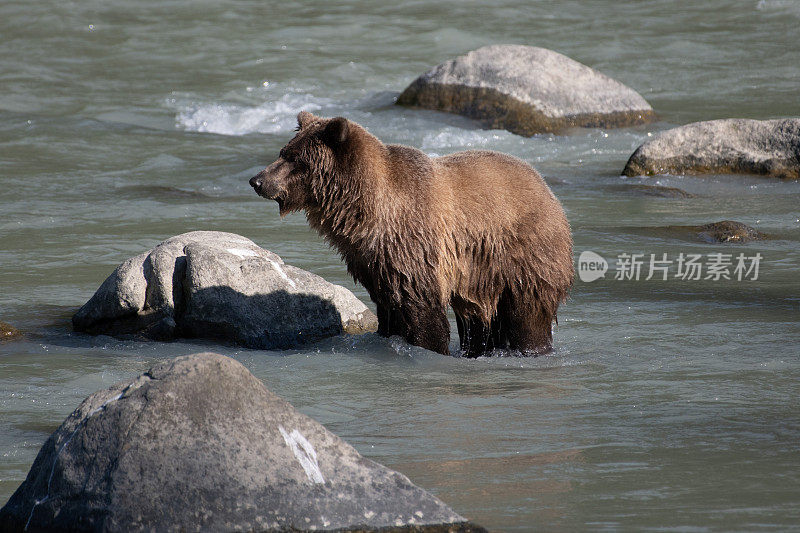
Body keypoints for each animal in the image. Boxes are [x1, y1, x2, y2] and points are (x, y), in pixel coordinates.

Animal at [250, 110, 576, 356]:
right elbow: (388, 306)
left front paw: (430, 346)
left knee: (526, 314)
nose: (257, 180)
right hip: (480, 276)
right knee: (479, 321)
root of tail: (546, 187)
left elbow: (422, 306)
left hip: (522, 253)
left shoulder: (414, 243)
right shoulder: (373, 259)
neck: (364, 211)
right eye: (283, 152)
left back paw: (531, 348)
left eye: (295, 159)